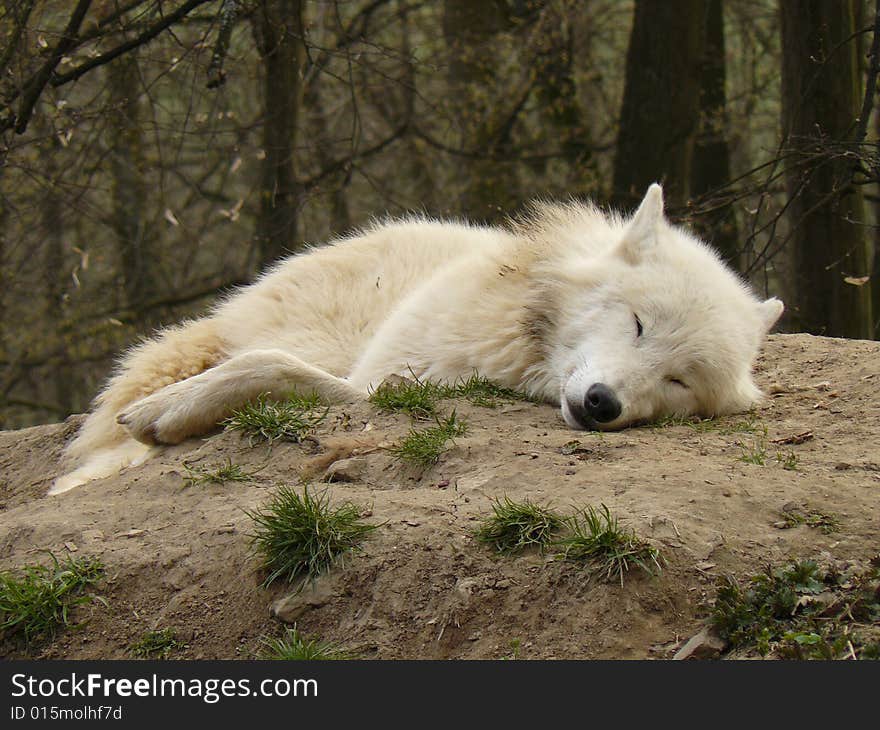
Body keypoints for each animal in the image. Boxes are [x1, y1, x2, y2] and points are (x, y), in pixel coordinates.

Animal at [53, 185, 784, 494]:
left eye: (678, 381)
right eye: (637, 325)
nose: (604, 404)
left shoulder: (382, 390)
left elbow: (274, 373)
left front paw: (171, 414)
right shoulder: (377, 376)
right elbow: (269, 366)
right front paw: (165, 413)